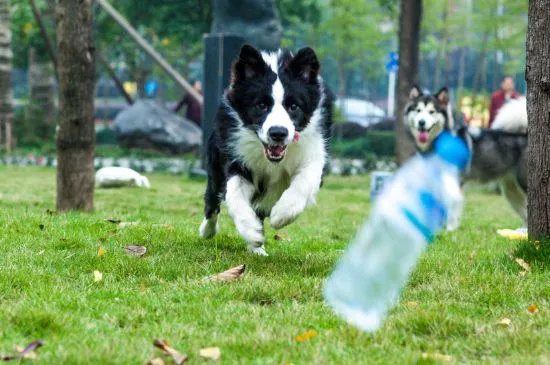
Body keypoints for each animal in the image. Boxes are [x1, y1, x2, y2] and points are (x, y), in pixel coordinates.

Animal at [201, 44, 334, 255]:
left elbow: (305, 180)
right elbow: (235, 193)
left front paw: (282, 213)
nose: (278, 133)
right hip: (216, 163)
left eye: (293, 106)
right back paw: (208, 231)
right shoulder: (238, 158)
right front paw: (251, 230)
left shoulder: (314, 151)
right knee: (212, 199)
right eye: (261, 105)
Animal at [406, 86, 532, 226]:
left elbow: (451, 211)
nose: (421, 122)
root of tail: (526, 135)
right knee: (526, 216)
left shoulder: (454, 183)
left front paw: (450, 229)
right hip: (511, 192)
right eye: (418, 110)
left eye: (431, 112)